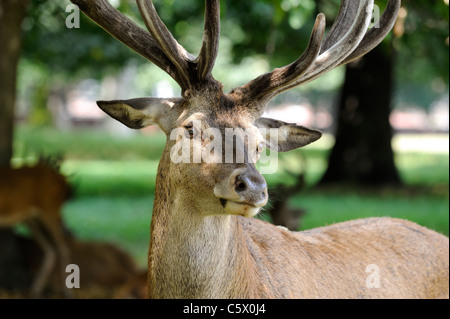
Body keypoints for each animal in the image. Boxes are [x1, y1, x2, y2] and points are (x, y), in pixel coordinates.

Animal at [0, 161, 71, 298]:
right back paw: (34, 292)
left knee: (63, 248)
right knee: (51, 250)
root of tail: (63, 179)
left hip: (50, 209)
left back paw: (69, 293)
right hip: (31, 219)